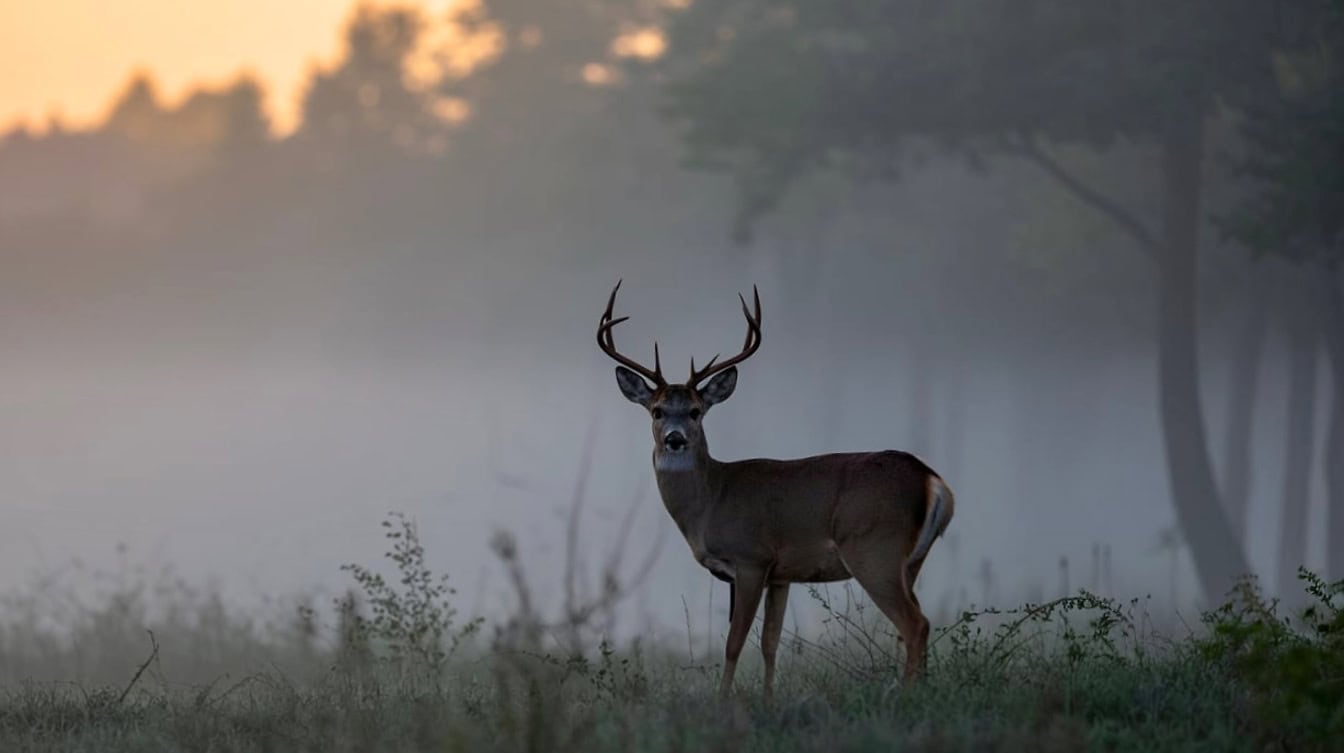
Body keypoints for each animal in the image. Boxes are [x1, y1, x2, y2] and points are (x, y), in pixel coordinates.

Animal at [596, 281, 955, 702]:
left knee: (915, 624)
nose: (674, 439)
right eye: (656, 410)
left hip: (874, 550)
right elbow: (770, 642)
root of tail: (931, 479)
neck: (711, 499)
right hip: (912, 560)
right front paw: (768, 699)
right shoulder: (781, 574)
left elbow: (734, 642)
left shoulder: (751, 559)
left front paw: (723, 701)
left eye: (696, 411)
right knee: (917, 622)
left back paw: (906, 694)